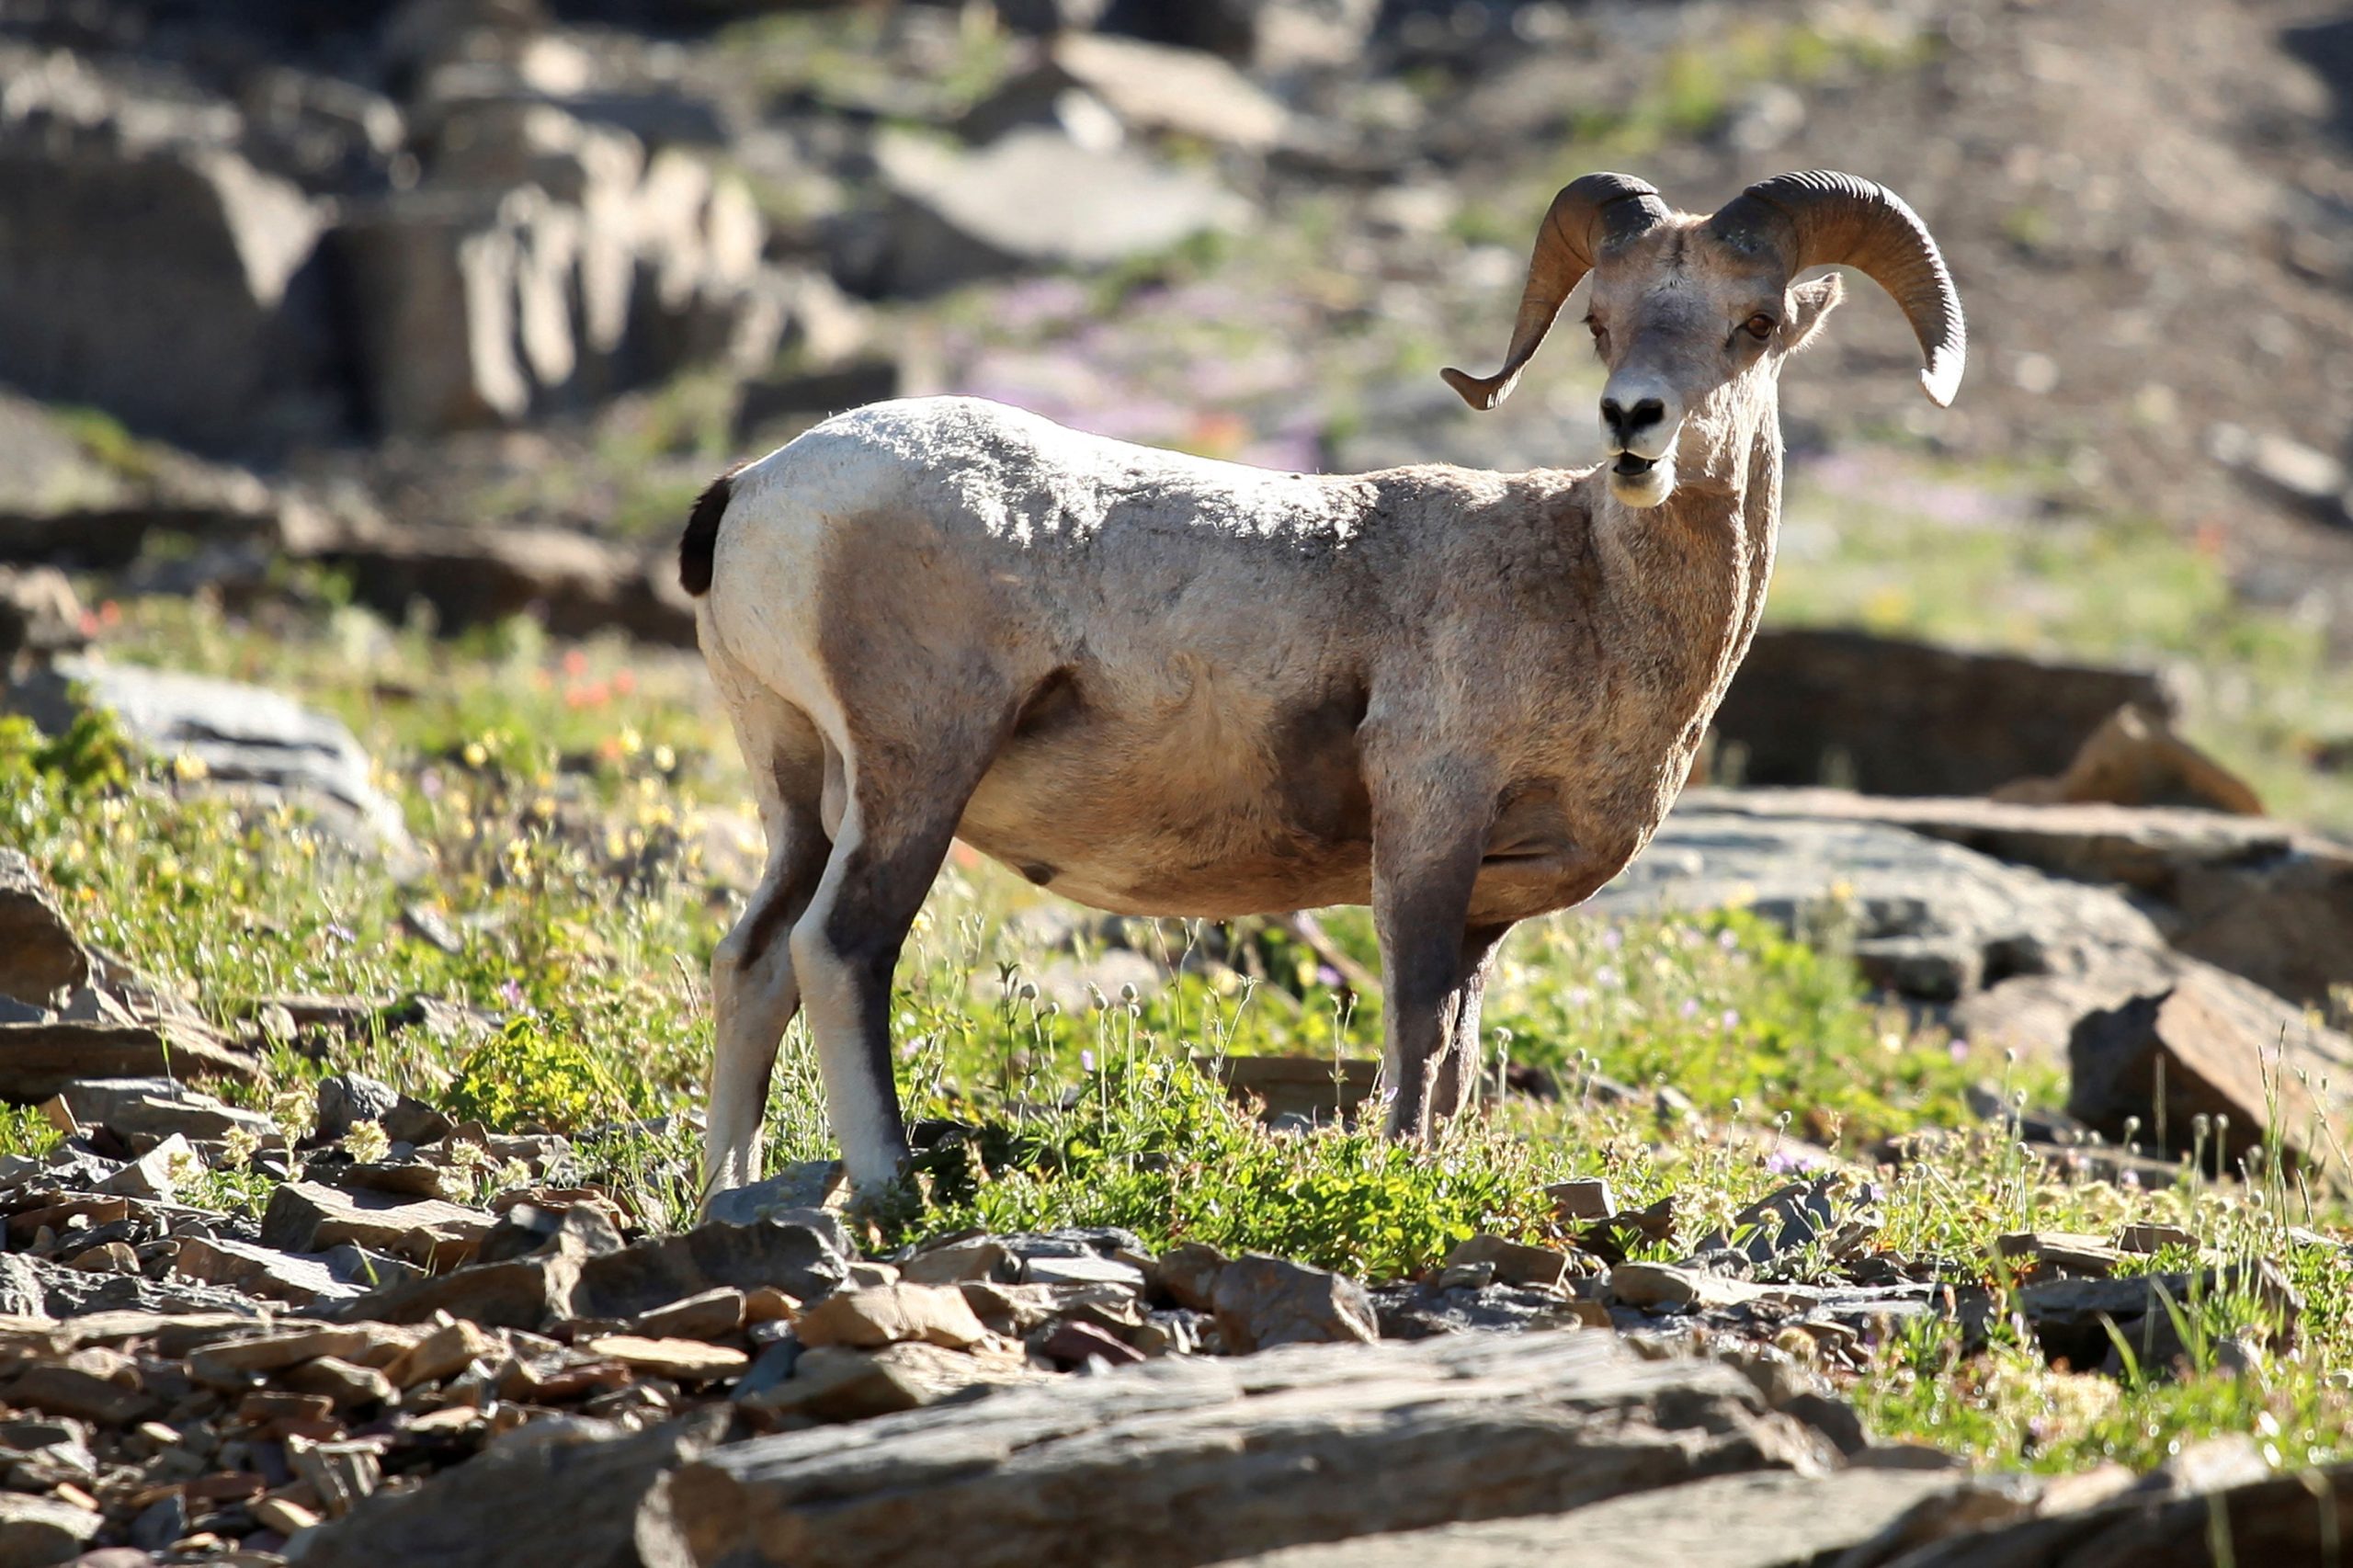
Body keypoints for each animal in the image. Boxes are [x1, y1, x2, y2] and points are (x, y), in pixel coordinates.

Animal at [687, 170, 1967, 1191]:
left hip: (801, 791)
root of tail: (761, 486)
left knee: (754, 960)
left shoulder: (1488, 905)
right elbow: (1415, 1032)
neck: (1587, 593)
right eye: (1600, 324)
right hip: (915, 775)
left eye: (1753, 322)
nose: (1633, 425)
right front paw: (1398, 1175)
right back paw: (892, 1188)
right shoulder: (1429, 823)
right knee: (840, 950)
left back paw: (725, 1199)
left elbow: (1456, 1053)